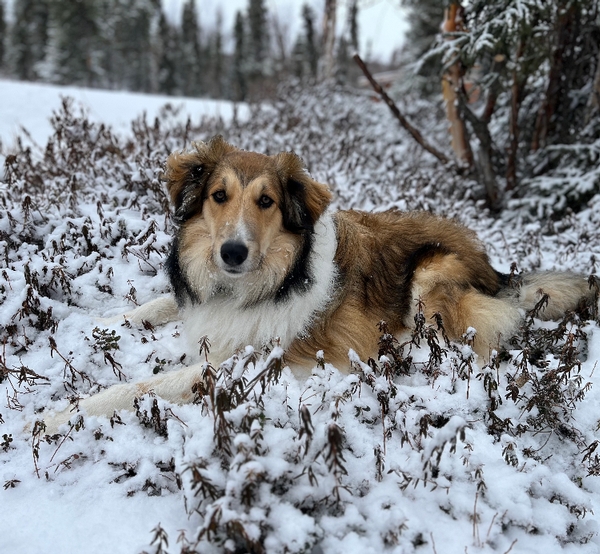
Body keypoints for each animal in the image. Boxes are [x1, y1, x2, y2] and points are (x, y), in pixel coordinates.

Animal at [42, 136, 596, 430]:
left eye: (266, 202)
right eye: (219, 196)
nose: (232, 253)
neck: (262, 280)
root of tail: (494, 266)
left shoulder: (252, 362)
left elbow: (145, 385)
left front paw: (55, 417)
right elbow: (158, 304)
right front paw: (105, 324)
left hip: (431, 276)